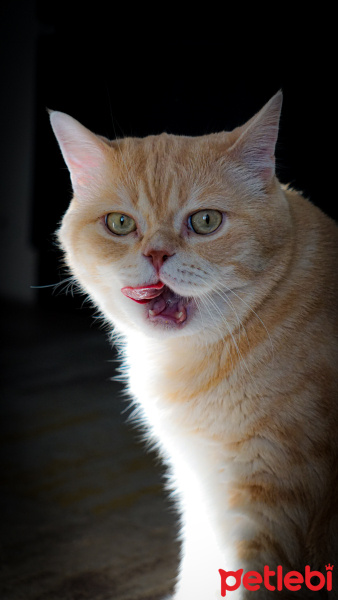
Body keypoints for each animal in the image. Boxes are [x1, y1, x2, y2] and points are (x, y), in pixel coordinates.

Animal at [50, 90, 338, 600]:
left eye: (205, 221)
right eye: (120, 224)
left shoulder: (270, 507)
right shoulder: (198, 488)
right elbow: (197, 571)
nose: (156, 254)